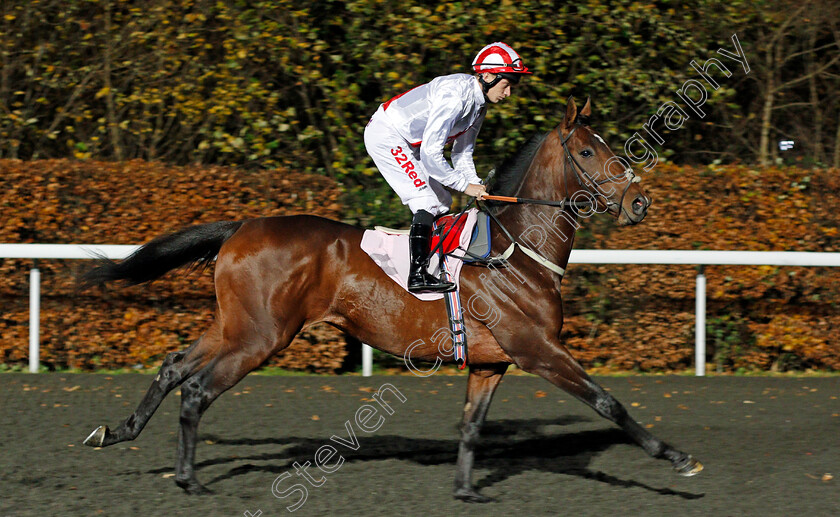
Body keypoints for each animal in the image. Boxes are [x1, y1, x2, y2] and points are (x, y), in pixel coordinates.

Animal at [80, 95, 704, 500]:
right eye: (591, 152)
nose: (640, 203)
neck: (515, 251)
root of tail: (242, 226)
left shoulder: (492, 362)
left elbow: (472, 426)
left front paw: (467, 490)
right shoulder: (537, 350)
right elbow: (608, 402)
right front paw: (678, 458)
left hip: (236, 324)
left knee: (173, 366)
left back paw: (119, 432)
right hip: (262, 335)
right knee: (197, 389)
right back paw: (188, 478)